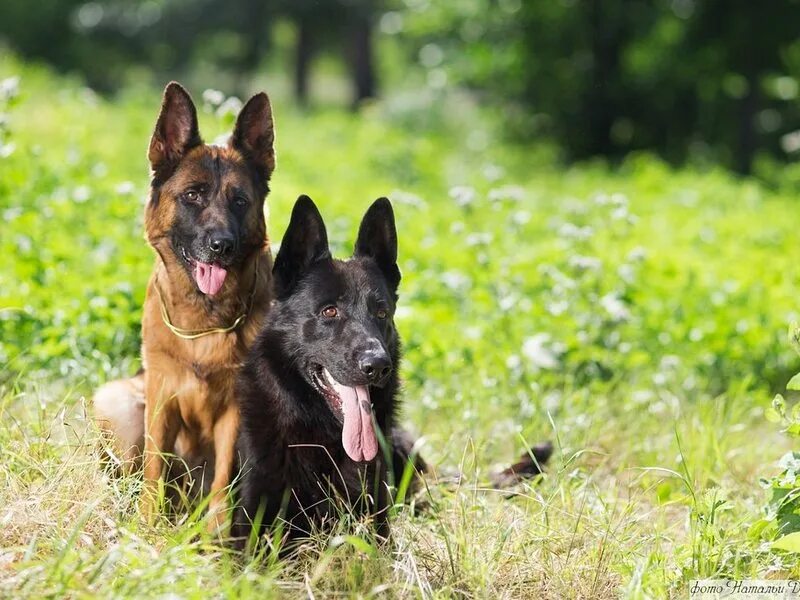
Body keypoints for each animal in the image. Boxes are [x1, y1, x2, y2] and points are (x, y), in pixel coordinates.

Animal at [93, 82, 276, 532]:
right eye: (192, 196)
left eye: (240, 201)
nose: (221, 246)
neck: (203, 325)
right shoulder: (161, 398)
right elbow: (154, 470)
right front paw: (147, 528)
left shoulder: (235, 412)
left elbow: (223, 482)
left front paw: (215, 541)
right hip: (118, 402)